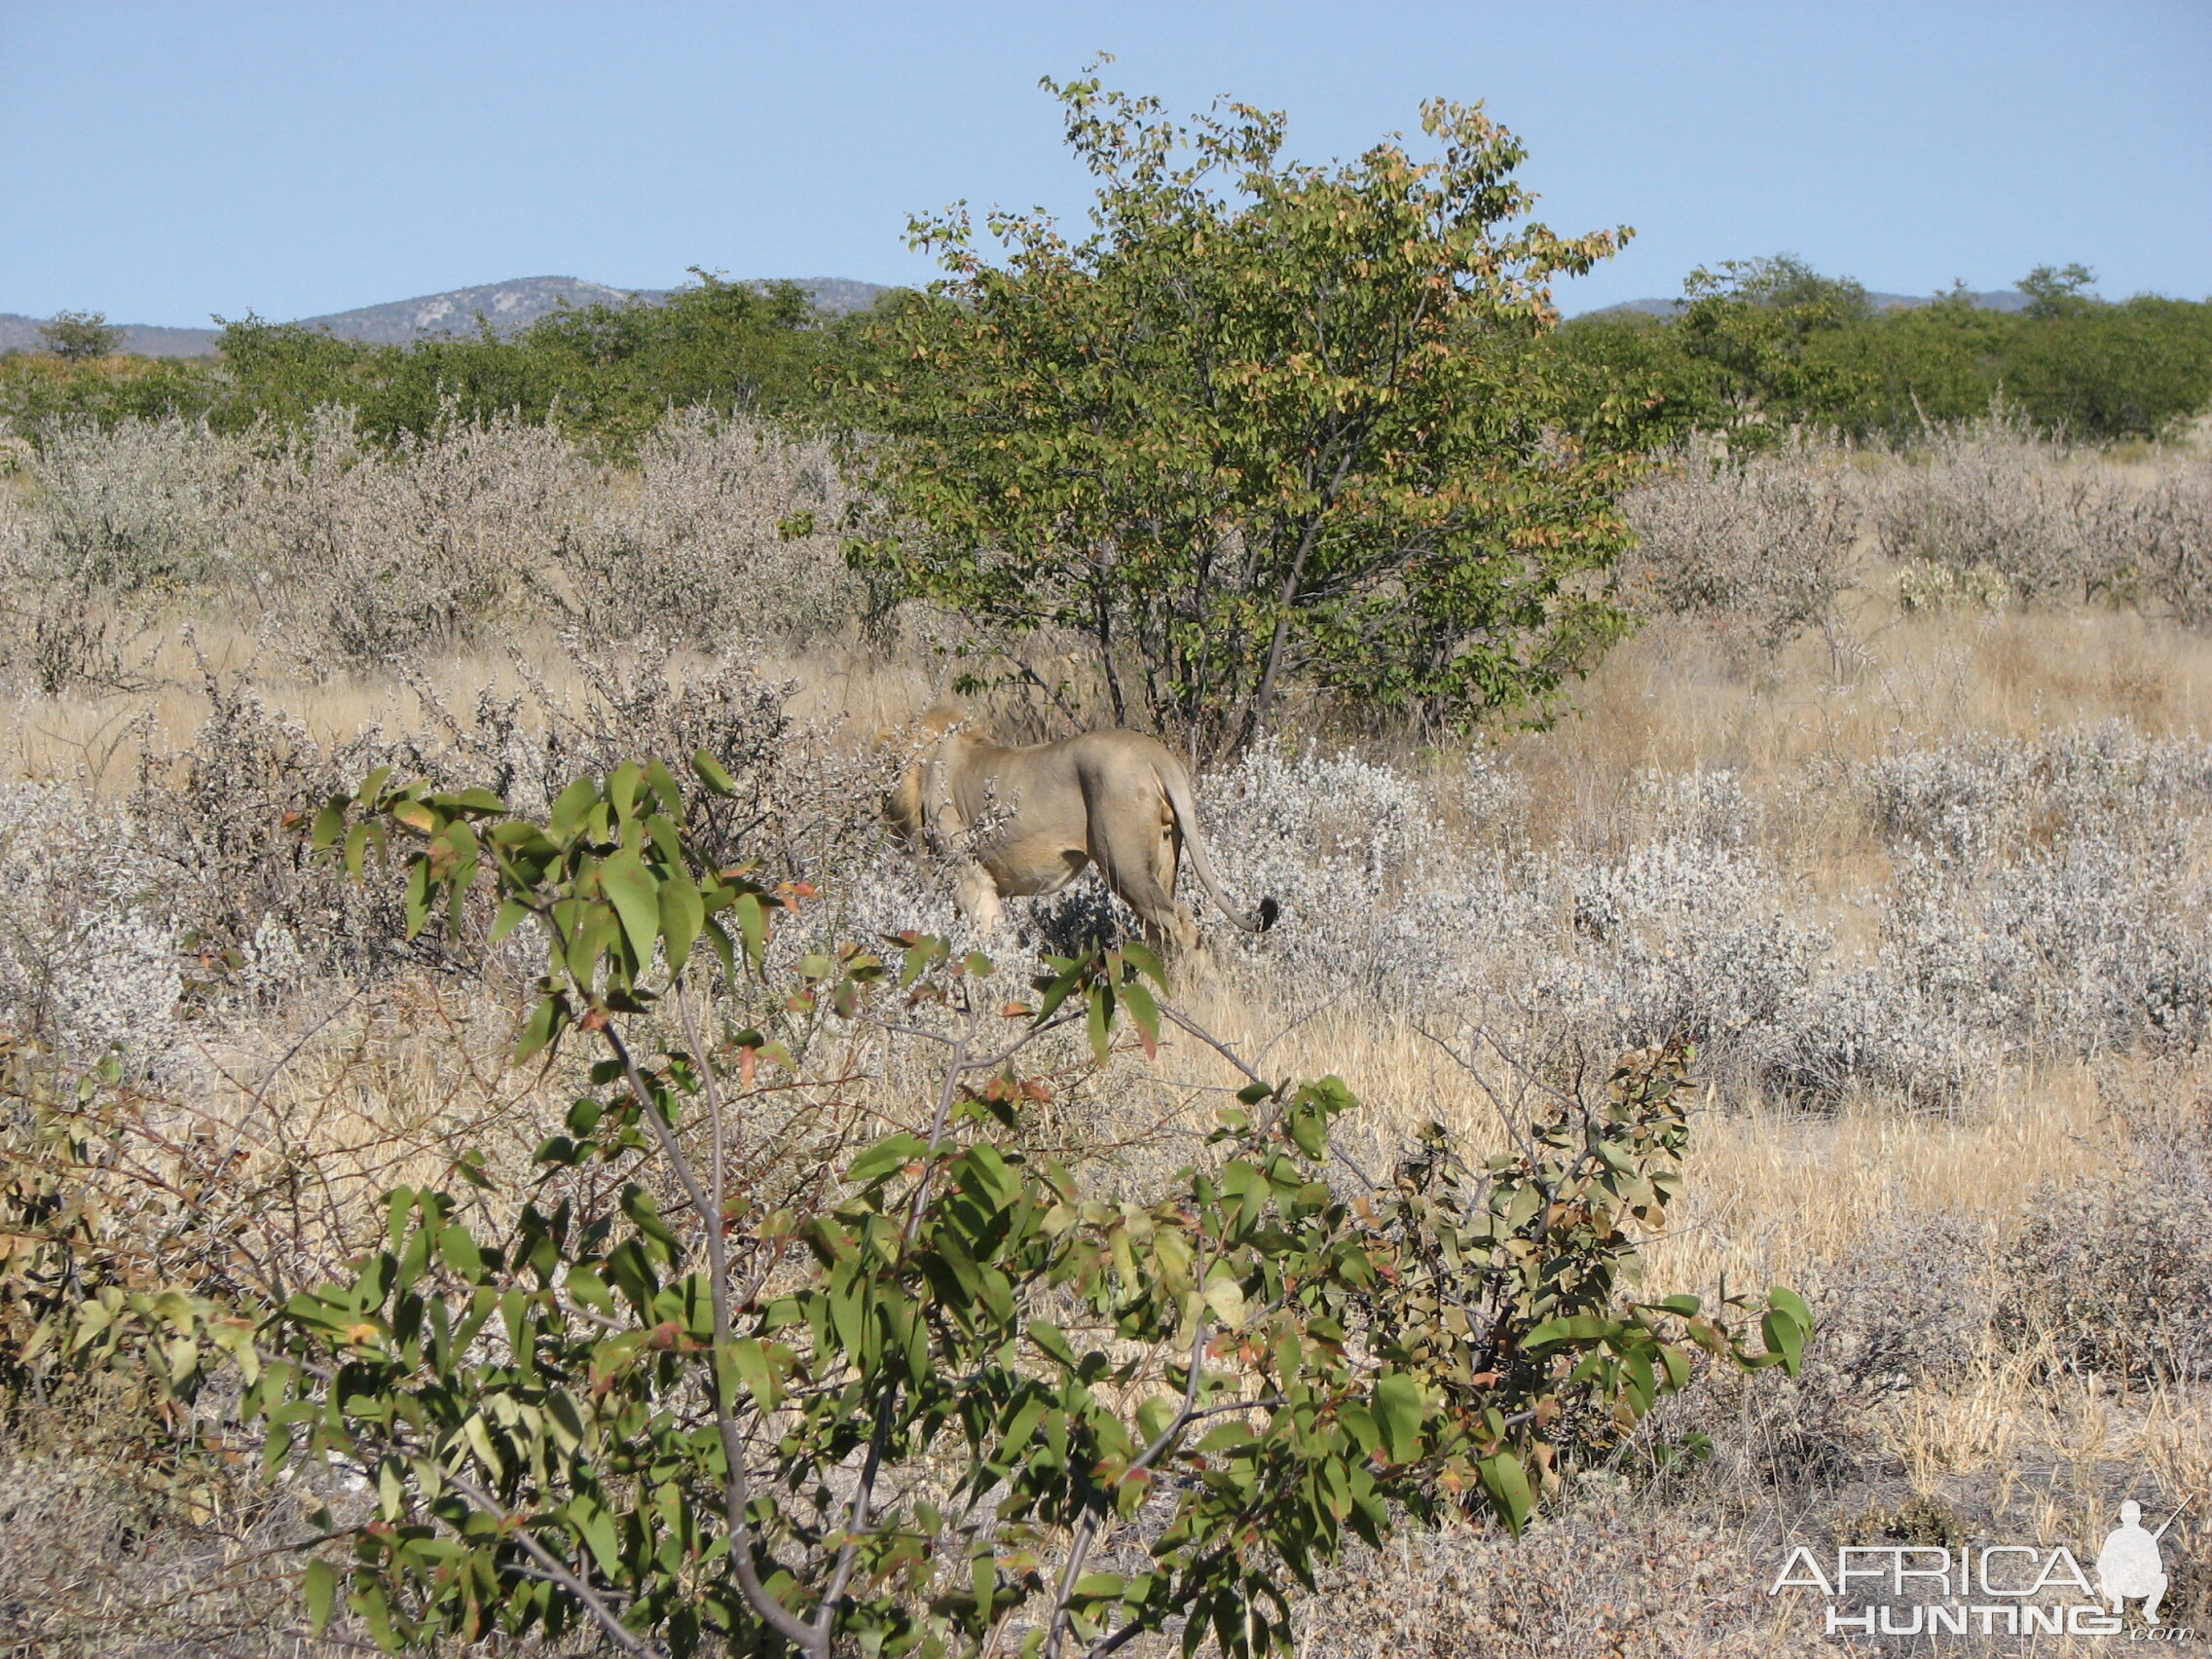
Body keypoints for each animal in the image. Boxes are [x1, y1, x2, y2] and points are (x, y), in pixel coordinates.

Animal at [884, 717, 1282, 960]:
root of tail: (1156, 755)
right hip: (1165, 856)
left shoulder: (970, 876)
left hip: (1122, 861)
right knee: (1159, 926)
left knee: (1179, 920)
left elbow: (985, 938)